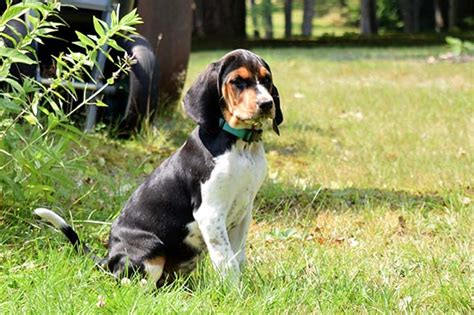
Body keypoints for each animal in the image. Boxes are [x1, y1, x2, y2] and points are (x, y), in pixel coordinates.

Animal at [36, 48, 286, 286]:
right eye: (237, 82)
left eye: (267, 79)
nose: (267, 104)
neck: (241, 146)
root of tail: (108, 257)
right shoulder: (210, 213)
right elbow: (227, 262)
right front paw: (235, 293)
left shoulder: (244, 211)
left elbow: (238, 257)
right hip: (152, 251)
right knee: (129, 283)